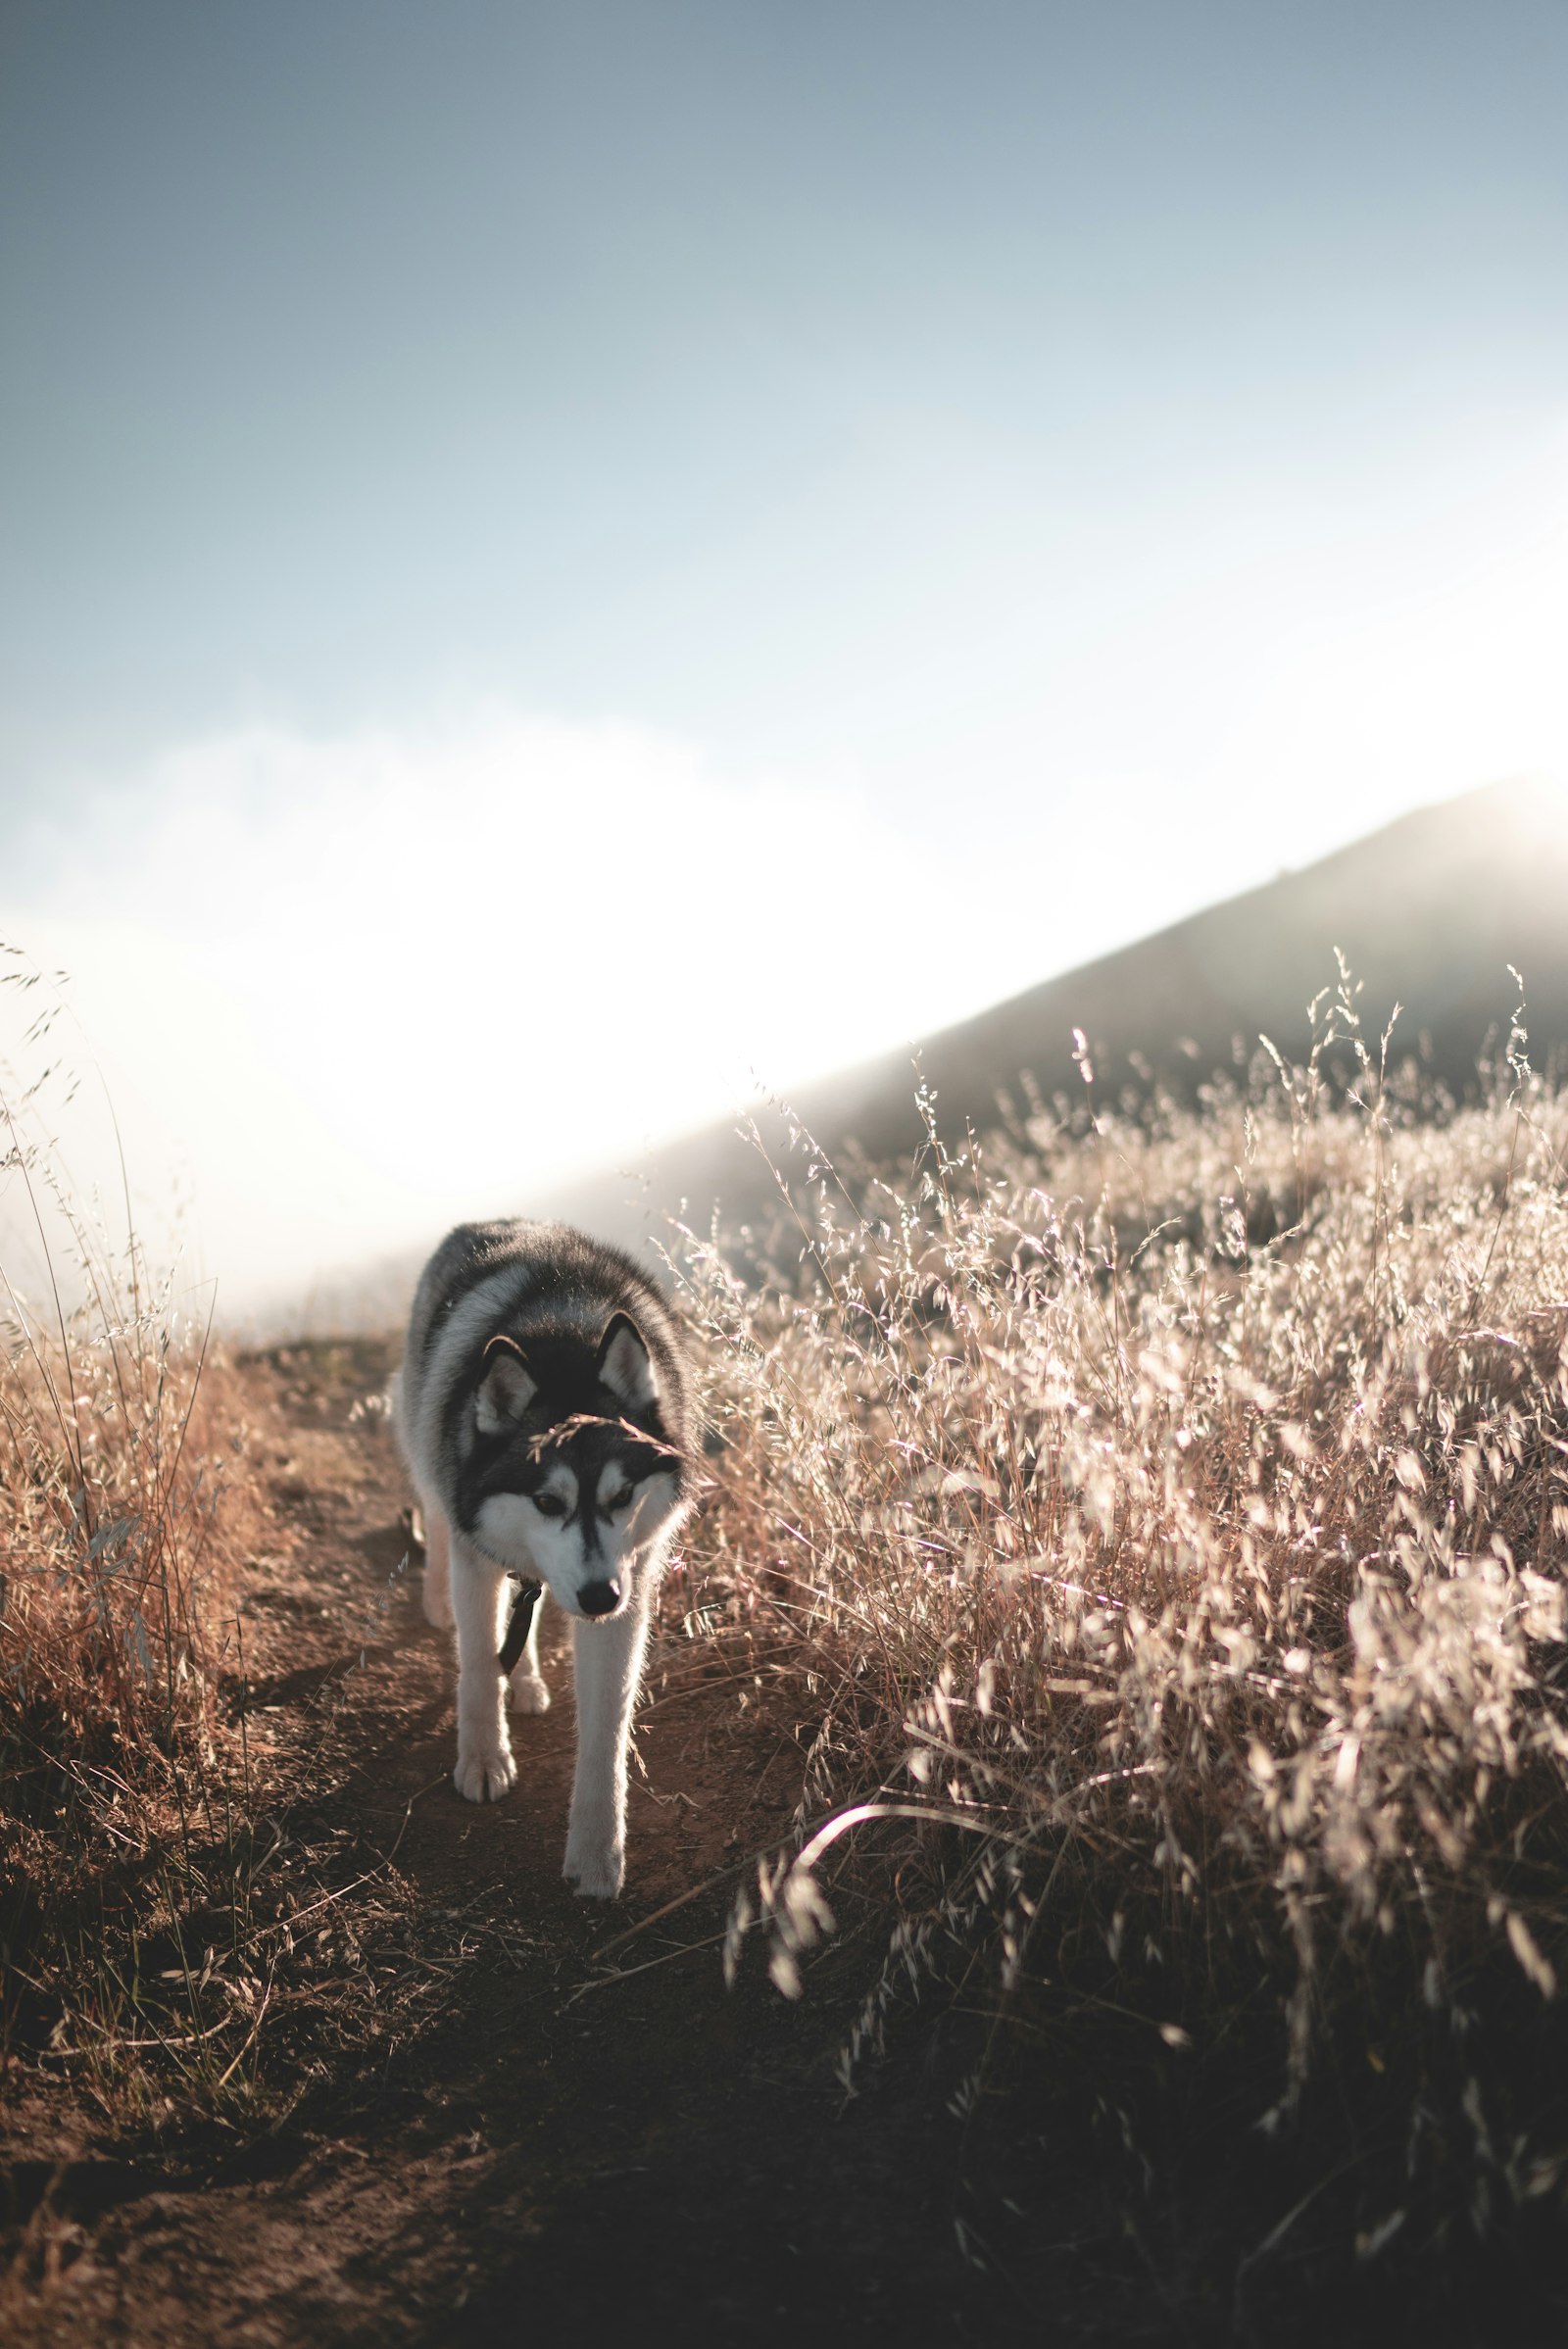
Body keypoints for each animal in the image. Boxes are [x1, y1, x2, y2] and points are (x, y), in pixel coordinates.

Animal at [392, 1221, 690, 1897]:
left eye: (622, 1496)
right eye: (548, 1501)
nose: (600, 1598)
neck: (564, 1336)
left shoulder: (630, 1579)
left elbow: (607, 1729)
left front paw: (598, 1851)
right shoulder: (477, 1550)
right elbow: (478, 1666)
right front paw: (483, 1758)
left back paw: (525, 1679)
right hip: (426, 1455)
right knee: (441, 1528)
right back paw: (439, 1603)